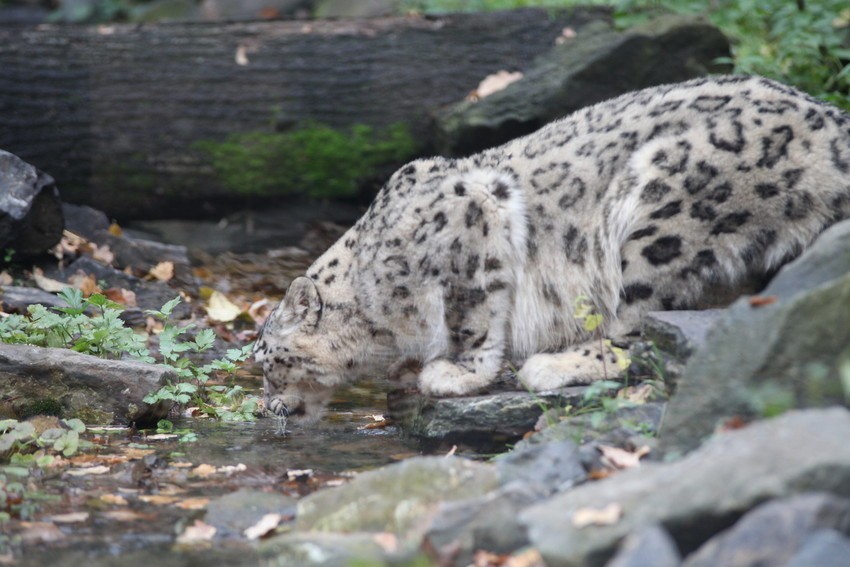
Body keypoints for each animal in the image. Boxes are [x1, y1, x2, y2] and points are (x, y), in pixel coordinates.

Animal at [252, 74, 848, 422]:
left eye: (267, 362)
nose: (265, 408)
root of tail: (834, 125)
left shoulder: (473, 226)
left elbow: (472, 315)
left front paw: (456, 372)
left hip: (663, 210)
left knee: (639, 324)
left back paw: (555, 363)